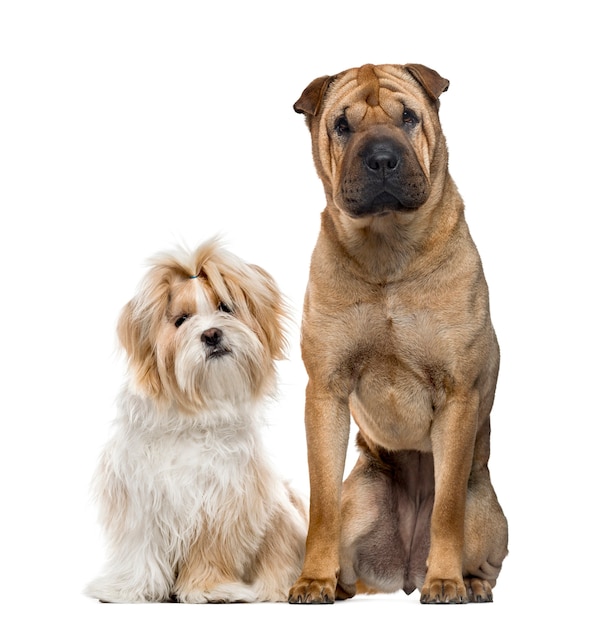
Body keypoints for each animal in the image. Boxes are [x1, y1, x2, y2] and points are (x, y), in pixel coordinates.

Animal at [86, 238, 308, 600]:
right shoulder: (139, 497)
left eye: (225, 307)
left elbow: (211, 551)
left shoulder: (222, 501)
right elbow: (140, 549)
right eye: (181, 320)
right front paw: (131, 589)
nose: (212, 334)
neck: (193, 416)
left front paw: (210, 590)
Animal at [288, 64, 508, 604]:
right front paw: (312, 580)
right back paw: (340, 584)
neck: (387, 252)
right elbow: (321, 502)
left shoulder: (457, 395)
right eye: (342, 125)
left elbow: (446, 509)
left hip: (487, 513)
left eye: (408, 116)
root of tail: (405, 571)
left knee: (480, 549)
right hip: (363, 499)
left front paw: (446, 581)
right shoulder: (325, 390)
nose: (382, 160)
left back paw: (470, 584)